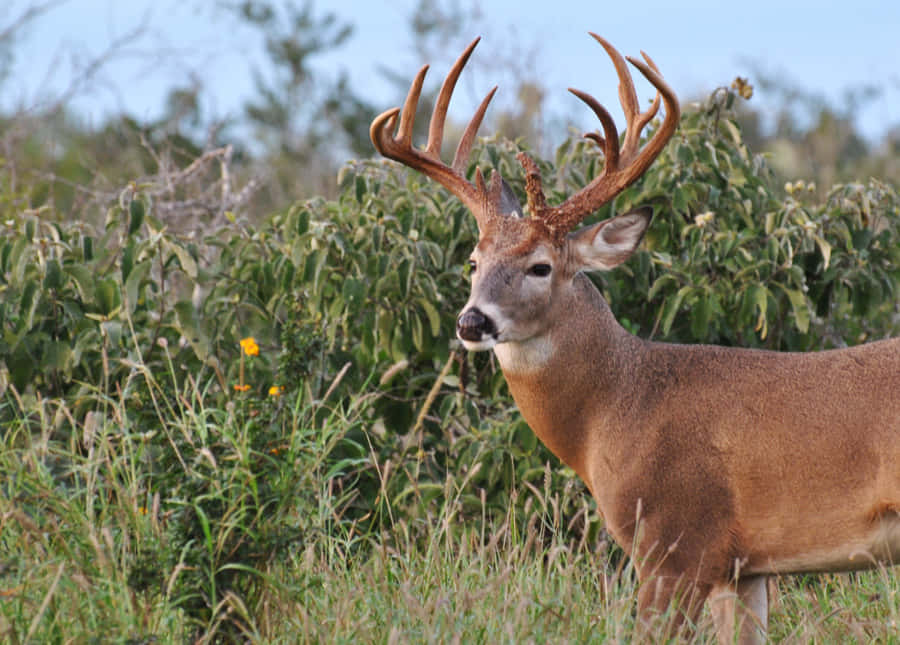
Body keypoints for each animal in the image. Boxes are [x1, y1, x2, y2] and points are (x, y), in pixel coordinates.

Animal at [368, 32, 900, 640]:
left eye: (540, 266)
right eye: (474, 262)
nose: (472, 322)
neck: (617, 405)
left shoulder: (675, 539)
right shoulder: (743, 566)